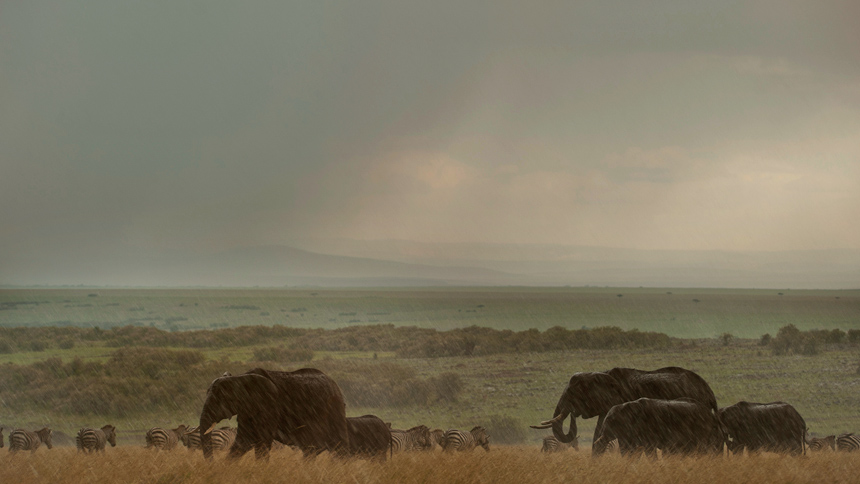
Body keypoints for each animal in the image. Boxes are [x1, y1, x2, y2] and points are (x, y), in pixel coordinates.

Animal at [198, 368, 350, 460]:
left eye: (220, 400)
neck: (240, 377)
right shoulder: (247, 411)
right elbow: (243, 441)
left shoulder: (269, 407)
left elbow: (262, 441)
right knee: (311, 450)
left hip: (334, 408)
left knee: (337, 444)